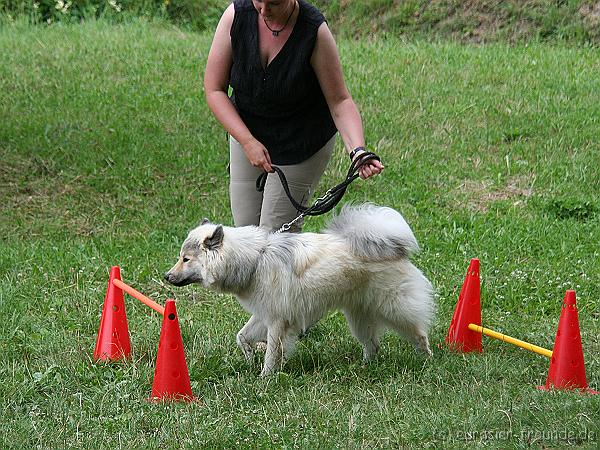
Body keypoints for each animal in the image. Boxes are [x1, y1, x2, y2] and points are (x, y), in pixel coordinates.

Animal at [165, 204, 436, 376]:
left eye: (186, 259)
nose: (166, 276)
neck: (254, 260)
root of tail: (392, 246)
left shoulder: (277, 321)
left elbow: (272, 352)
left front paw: (265, 378)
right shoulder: (265, 315)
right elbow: (241, 336)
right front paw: (250, 356)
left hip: (394, 309)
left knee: (419, 335)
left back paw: (427, 360)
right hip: (358, 319)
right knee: (373, 345)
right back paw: (365, 367)